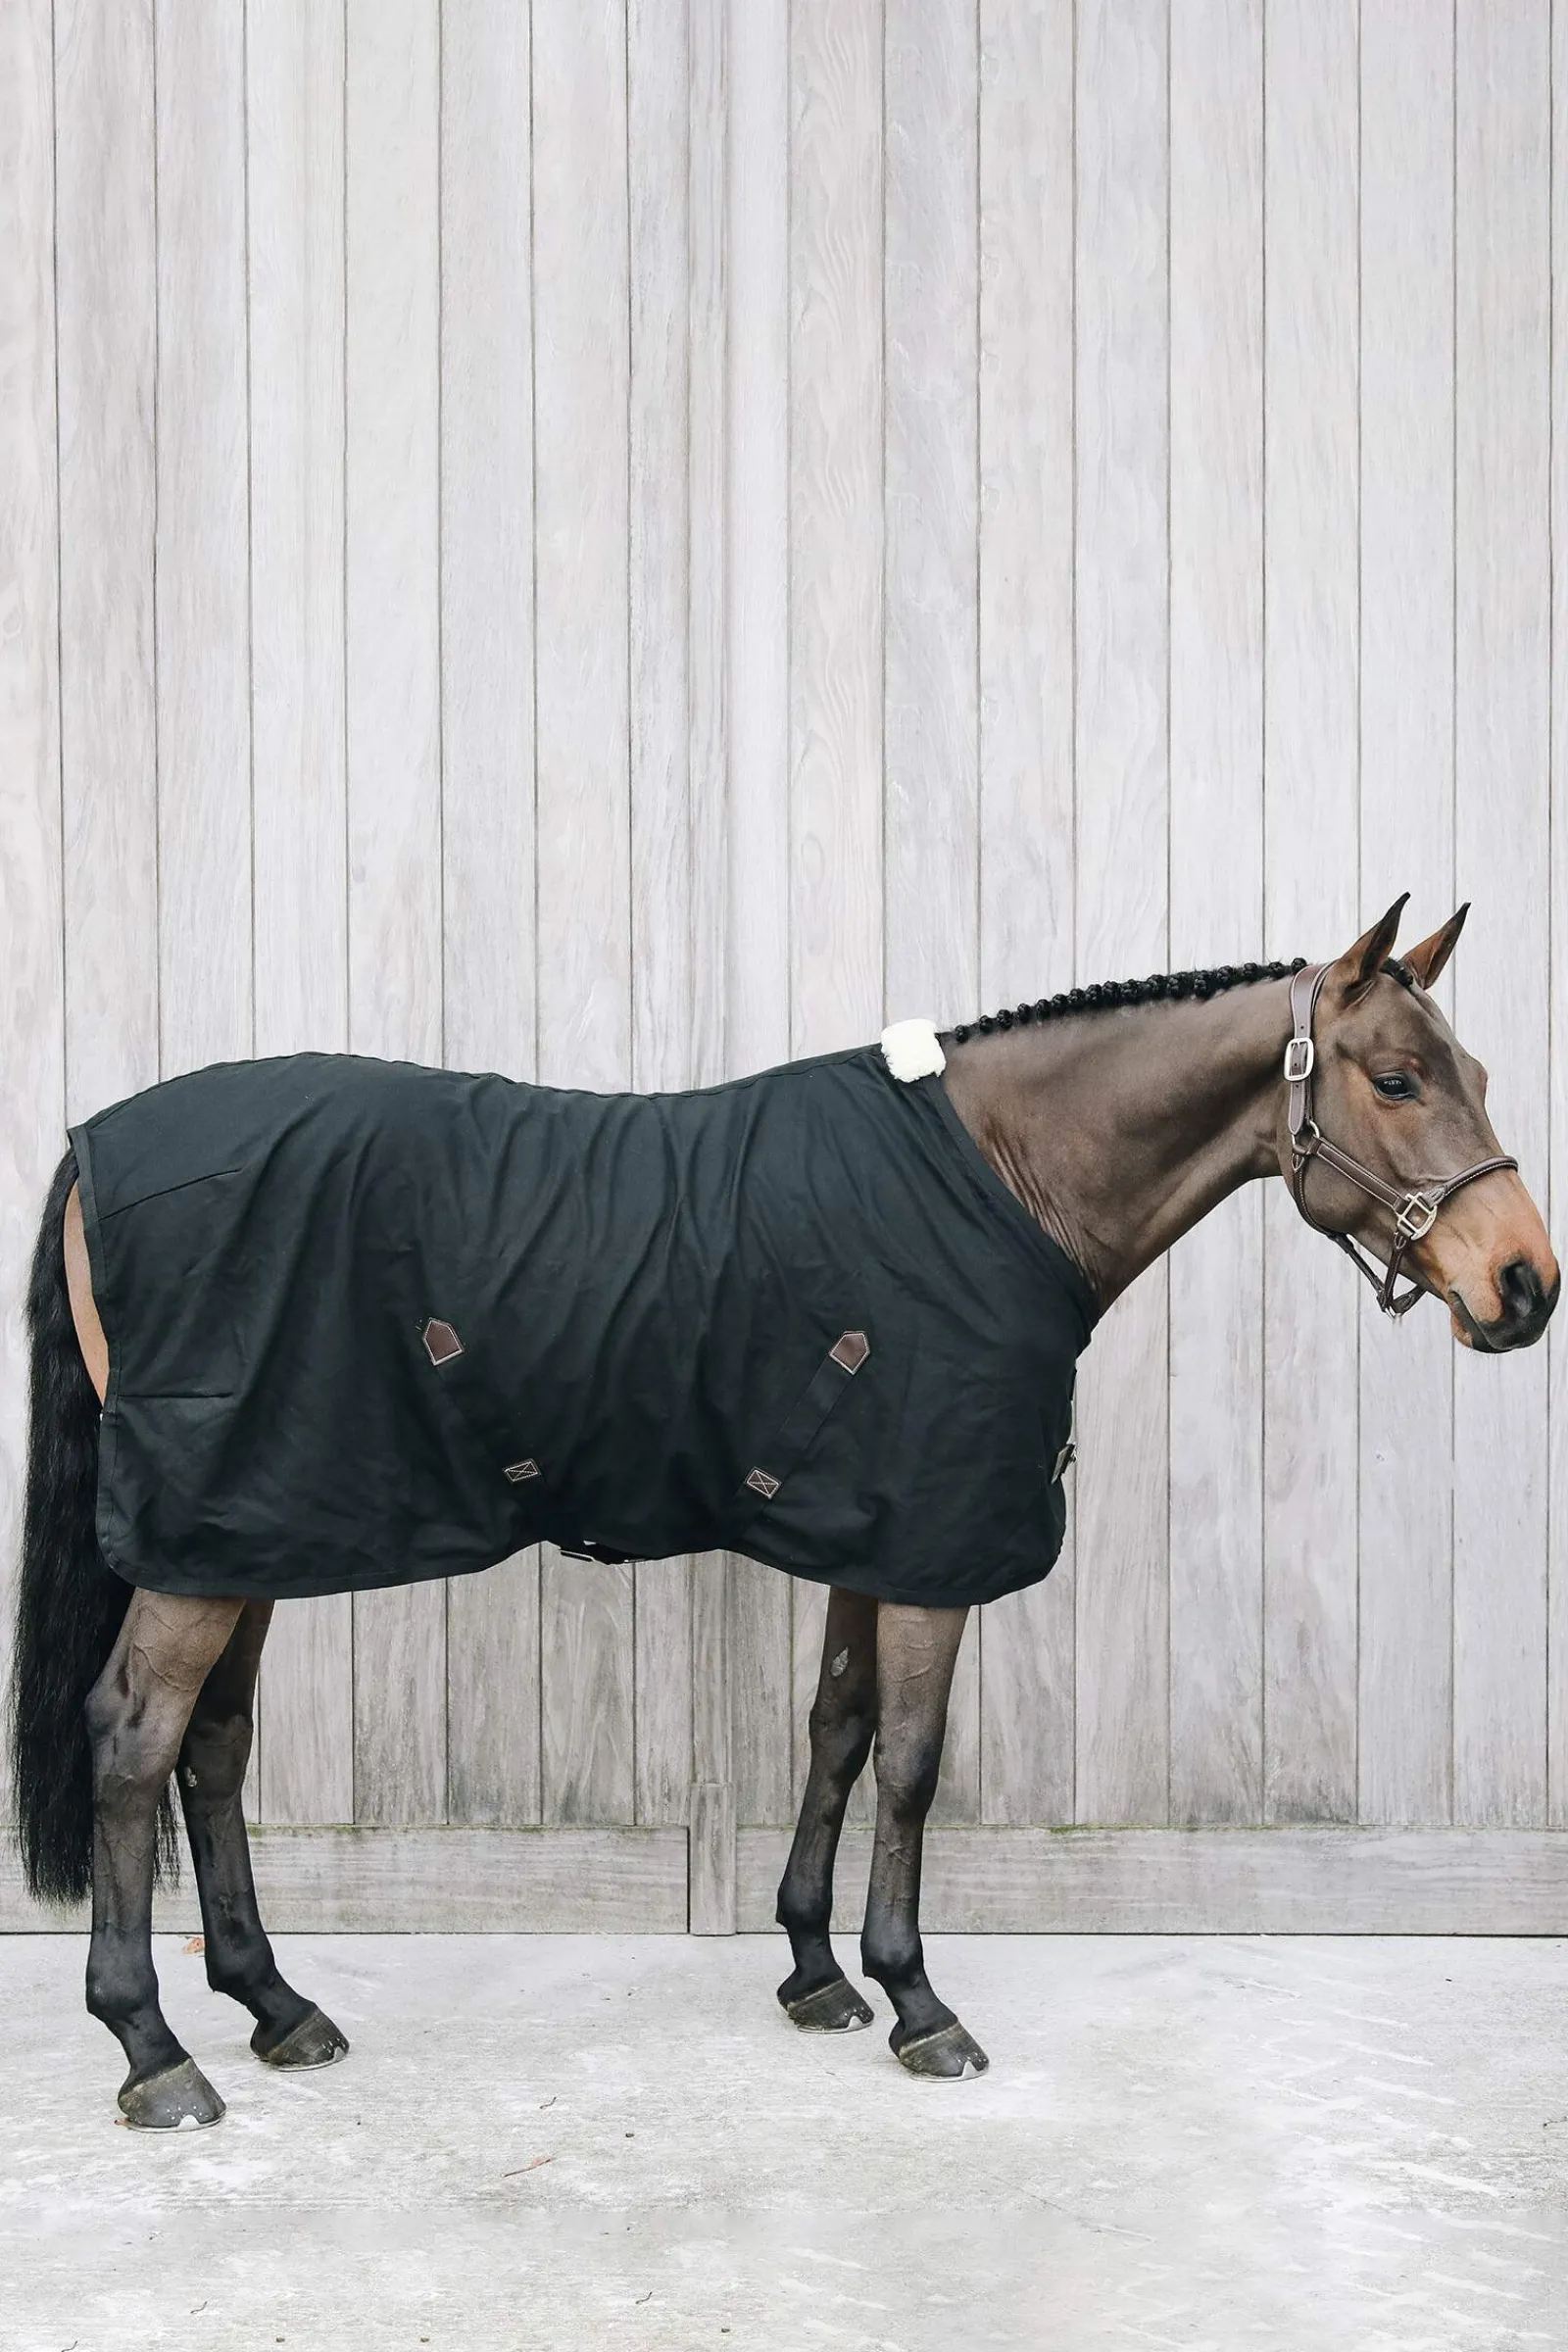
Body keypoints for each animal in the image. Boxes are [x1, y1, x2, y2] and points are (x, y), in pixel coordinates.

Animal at [8, 894, 1558, 2129]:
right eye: (1400, 1078)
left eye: (1473, 1071)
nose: (1525, 1286)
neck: (1000, 1179)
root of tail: (95, 1146)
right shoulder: (933, 1550)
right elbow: (915, 1764)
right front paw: (919, 2001)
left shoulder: (872, 1530)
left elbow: (837, 1730)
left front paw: (815, 1971)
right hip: (206, 1545)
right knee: (134, 1741)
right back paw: (152, 2049)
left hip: (250, 1529)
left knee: (213, 1746)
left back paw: (274, 2007)